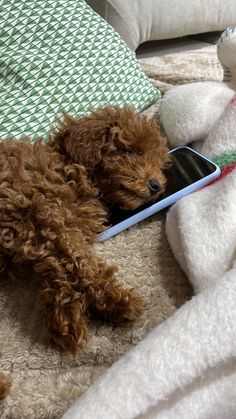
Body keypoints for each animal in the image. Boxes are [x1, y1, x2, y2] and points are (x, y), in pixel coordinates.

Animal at [0, 106, 170, 398]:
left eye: (159, 162)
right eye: (130, 151)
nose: (156, 185)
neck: (71, 169)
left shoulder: (47, 233)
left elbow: (60, 267)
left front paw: (66, 315)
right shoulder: (41, 213)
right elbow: (81, 263)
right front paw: (117, 301)